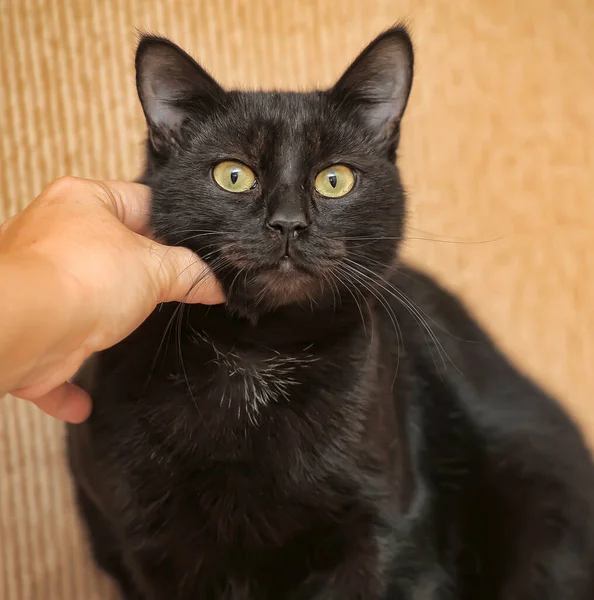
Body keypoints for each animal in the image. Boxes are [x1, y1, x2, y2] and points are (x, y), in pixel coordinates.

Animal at [66, 28, 592, 600]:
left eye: (334, 180)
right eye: (233, 176)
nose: (288, 223)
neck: (256, 357)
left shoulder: (388, 531)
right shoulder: (154, 545)